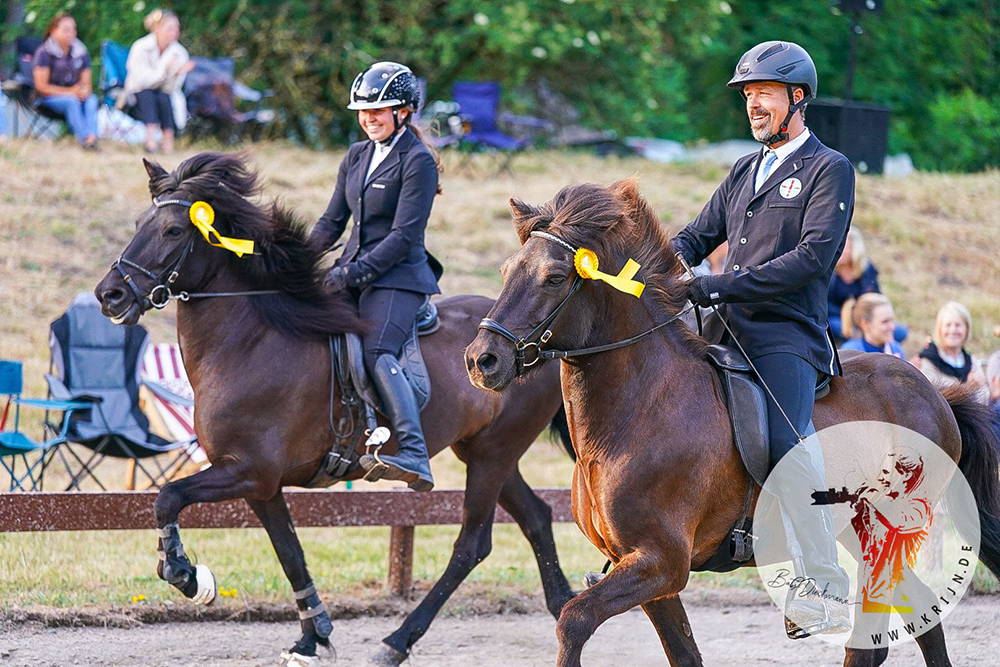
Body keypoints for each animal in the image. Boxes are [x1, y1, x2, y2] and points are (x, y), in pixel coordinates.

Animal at [95, 153, 580, 667]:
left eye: (171, 231)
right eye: (138, 224)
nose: (110, 295)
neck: (249, 344)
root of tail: (542, 342)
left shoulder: (248, 471)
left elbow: (167, 496)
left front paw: (187, 575)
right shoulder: (262, 485)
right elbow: (290, 553)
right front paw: (312, 637)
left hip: (493, 453)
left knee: (472, 544)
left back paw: (396, 642)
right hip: (485, 451)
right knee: (536, 517)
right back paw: (563, 608)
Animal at [466, 179, 1000, 667]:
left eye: (555, 277)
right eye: (507, 270)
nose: (481, 360)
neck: (634, 413)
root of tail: (935, 393)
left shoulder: (661, 562)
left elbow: (573, 618)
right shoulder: (646, 572)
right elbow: (683, 653)